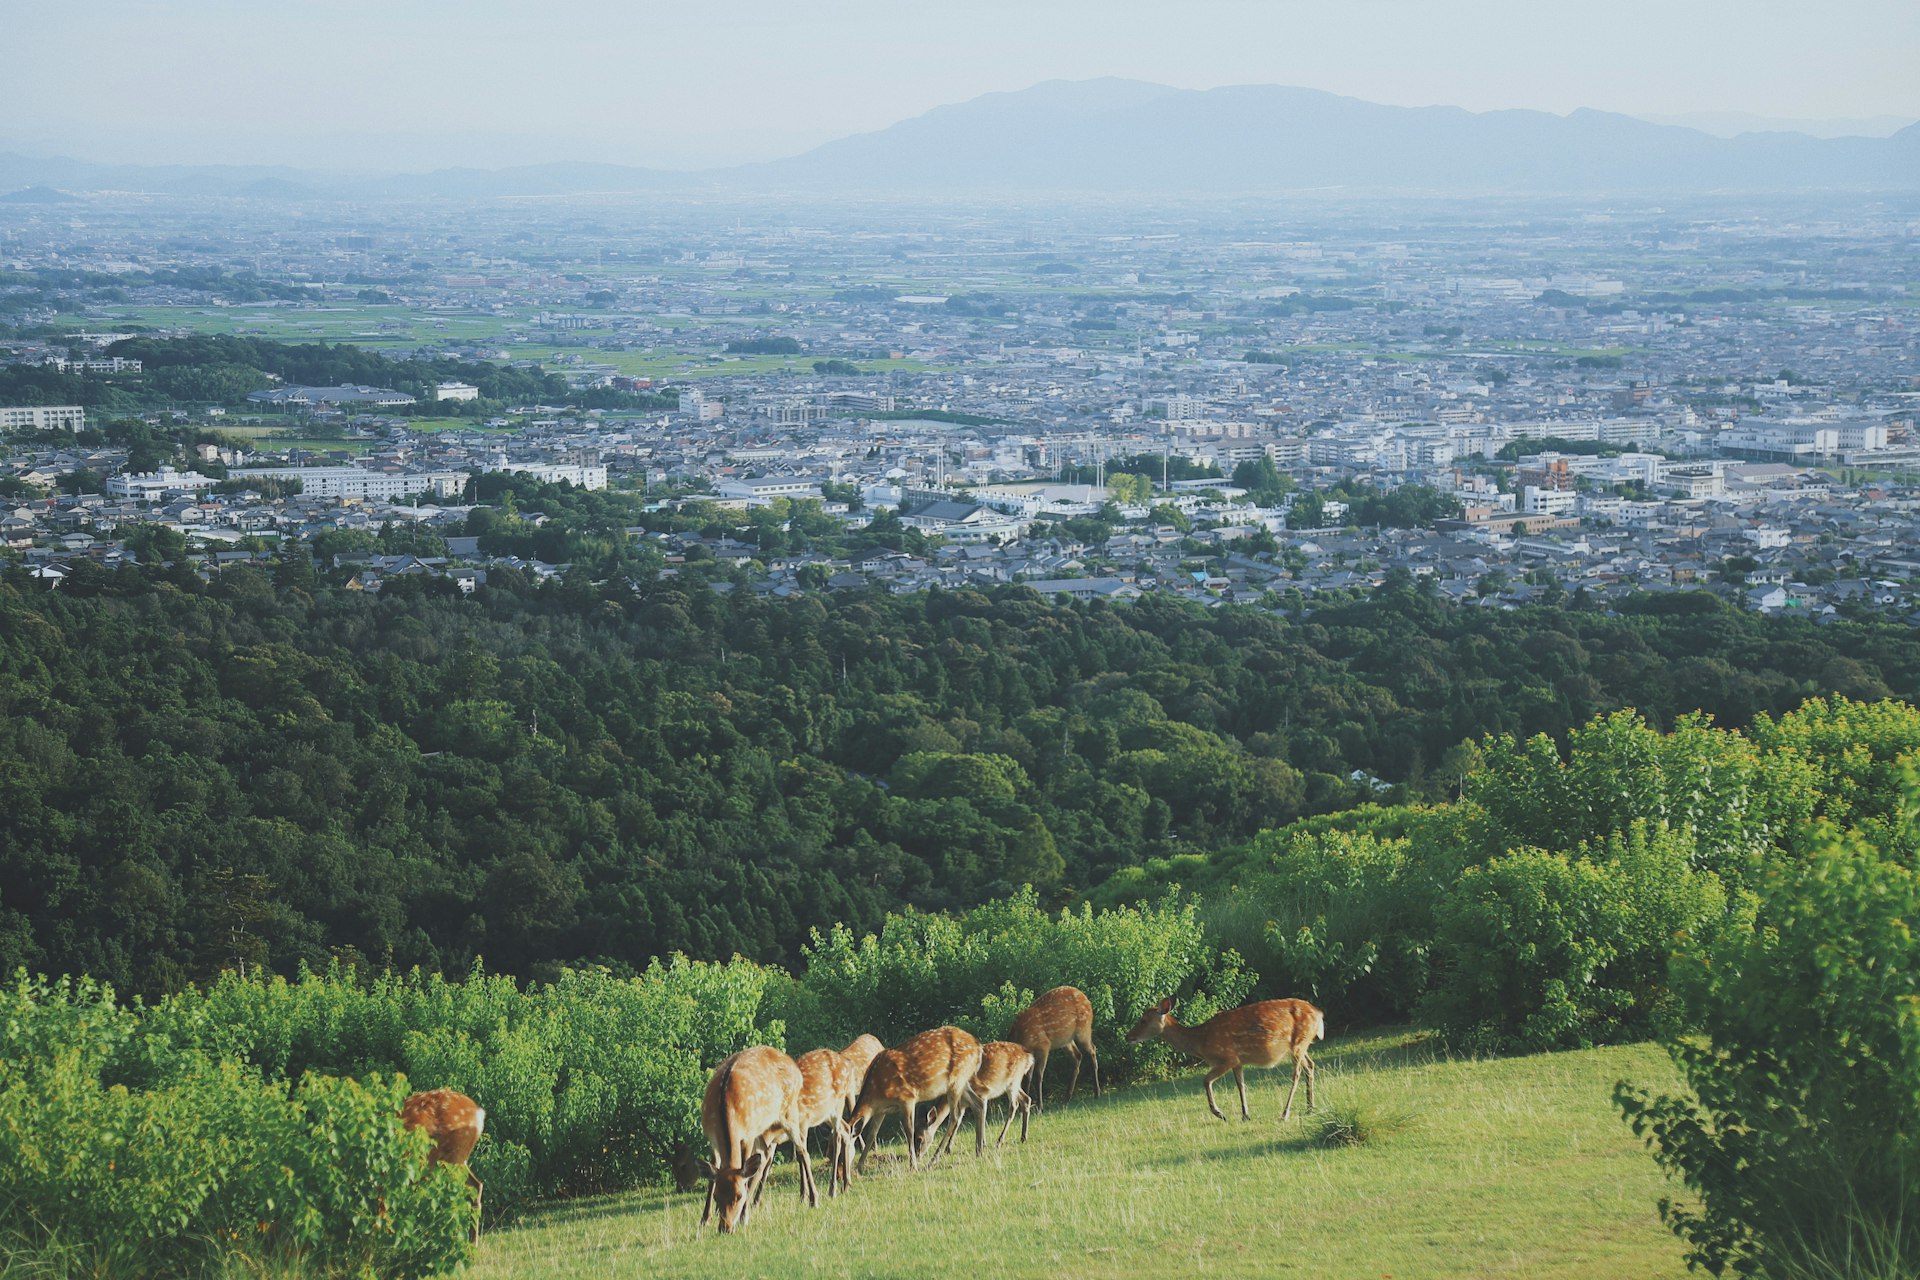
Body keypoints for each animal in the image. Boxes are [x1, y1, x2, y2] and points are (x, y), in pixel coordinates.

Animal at [699, 1046, 818, 1232]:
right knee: (765, 1159)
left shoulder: (747, 1134)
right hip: (765, 1130)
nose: (725, 1227)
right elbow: (714, 1172)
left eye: (739, 1196)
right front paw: (705, 1218)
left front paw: (743, 1216)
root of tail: (795, 1068)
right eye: (717, 1196)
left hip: (789, 1113)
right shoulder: (712, 1138)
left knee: (802, 1151)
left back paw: (813, 1199)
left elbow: (744, 1171)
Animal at [751, 1047, 858, 1204]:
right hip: (826, 1112)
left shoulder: (802, 1123)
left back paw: (833, 1189)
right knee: (846, 1129)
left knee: (838, 1135)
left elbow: (801, 1155)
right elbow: (772, 1162)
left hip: (838, 1104)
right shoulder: (776, 1139)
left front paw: (805, 1195)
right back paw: (846, 1184)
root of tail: (848, 1063)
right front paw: (757, 1200)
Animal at [849, 1025, 981, 1172]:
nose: (918, 1155)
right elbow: (872, 1134)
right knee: (978, 1102)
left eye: (920, 1139)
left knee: (955, 1116)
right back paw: (980, 1150)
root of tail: (978, 1046)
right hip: (963, 1081)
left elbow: (908, 1130)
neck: (876, 1090)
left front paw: (913, 1166)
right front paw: (859, 1167)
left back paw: (933, 1160)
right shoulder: (881, 1110)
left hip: (956, 1080)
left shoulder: (907, 1097)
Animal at [1125, 996, 1325, 1122]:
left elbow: (1205, 1080)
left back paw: (1285, 1113)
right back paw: (1310, 1107)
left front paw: (1220, 1113)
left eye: (1143, 1020)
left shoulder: (1227, 1058)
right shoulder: (1238, 1061)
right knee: (1310, 1066)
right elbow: (1240, 1085)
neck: (1201, 1042)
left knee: (1296, 1074)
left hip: (1298, 1043)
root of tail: (1319, 1014)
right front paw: (1245, 1115)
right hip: (1301, 1045)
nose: (1128, 1036)